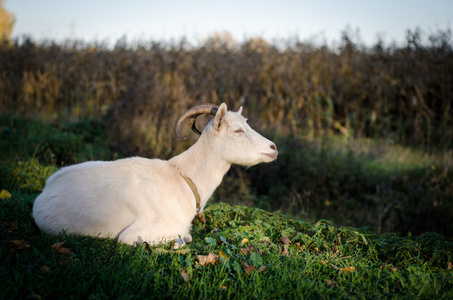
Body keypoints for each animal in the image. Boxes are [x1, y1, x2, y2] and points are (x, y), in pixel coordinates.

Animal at [31, 103, 278, 246]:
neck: (184, 179)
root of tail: (47, 188)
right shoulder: (139, 232)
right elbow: (186, 237)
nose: (273, 148)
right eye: (238, 130)